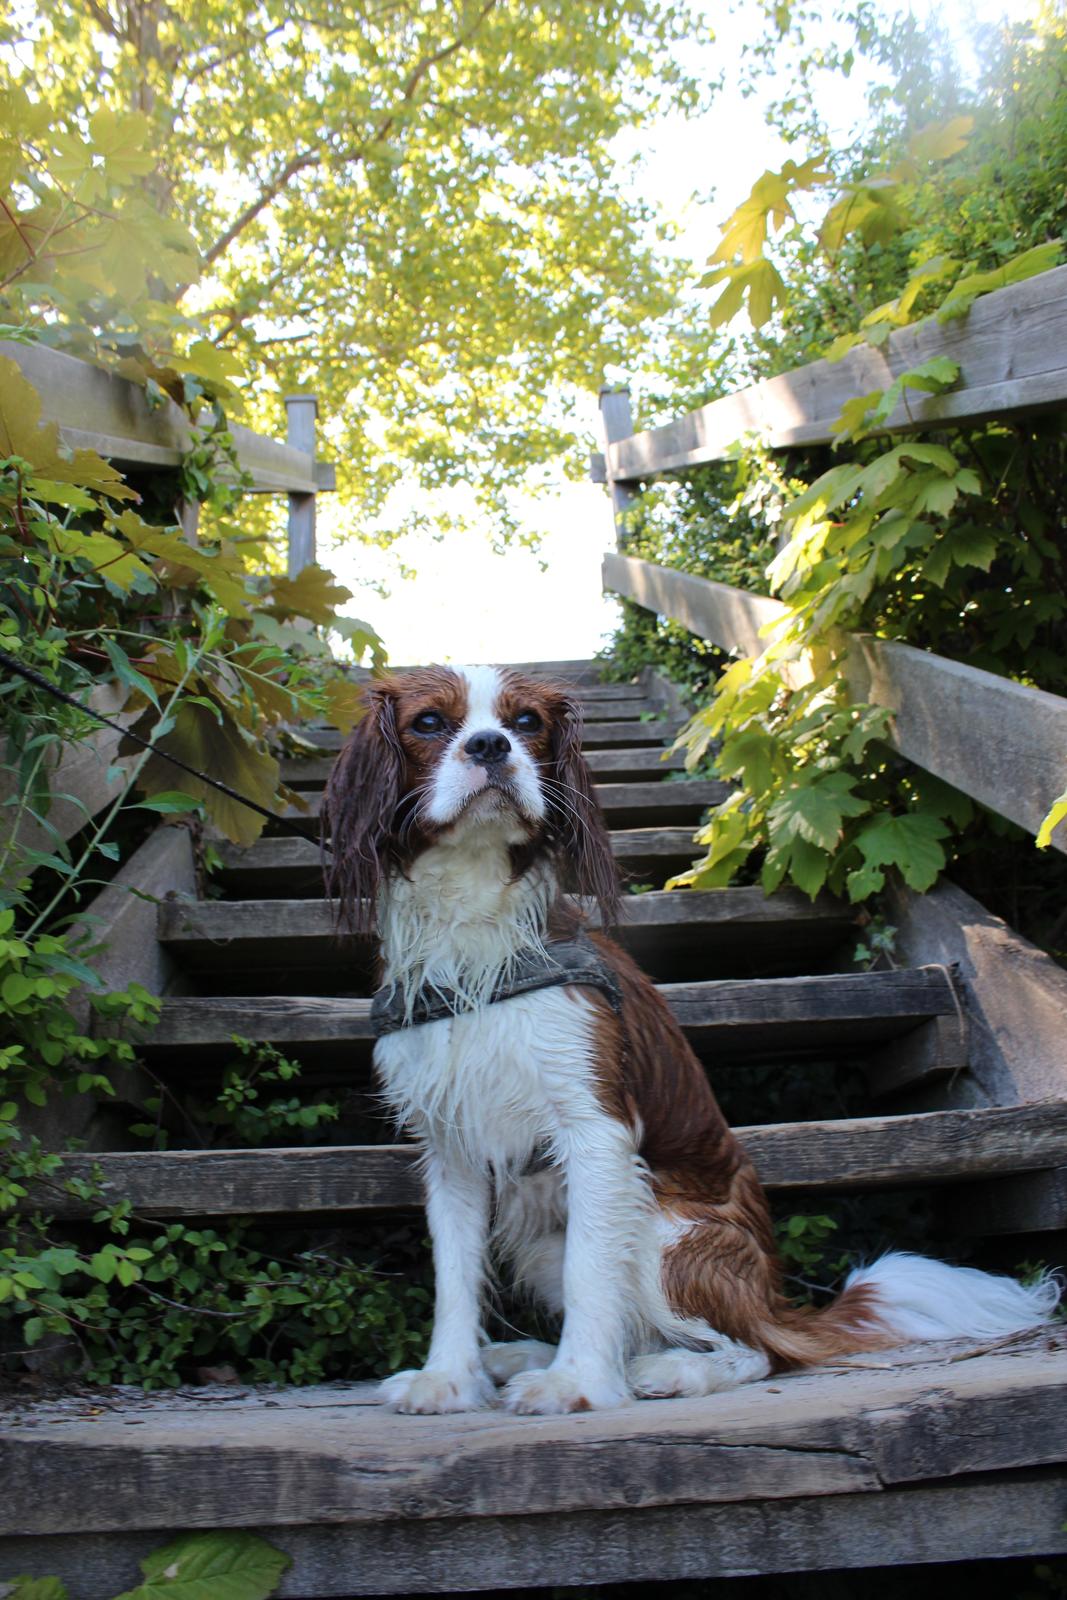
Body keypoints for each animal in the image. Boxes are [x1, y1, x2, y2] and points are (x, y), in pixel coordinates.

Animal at [326, 662, 1062, 1414]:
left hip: (666, 1229)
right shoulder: (450, 1151)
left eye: (525, 723)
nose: (489, 746)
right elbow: (454, 1279)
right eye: (427, 724)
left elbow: (592, 1275)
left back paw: (669, 1370)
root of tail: (774, 1302)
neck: (477, 935)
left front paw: (576, 1384)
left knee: (757, 1353)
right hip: (549, 1240)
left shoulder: (595, 1131)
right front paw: (449, 1378)